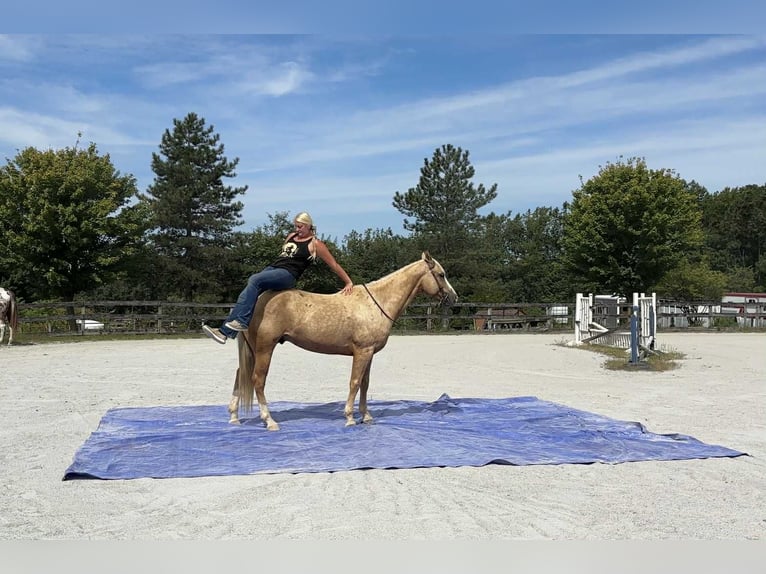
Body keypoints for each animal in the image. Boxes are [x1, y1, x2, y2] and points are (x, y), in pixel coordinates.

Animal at [229, 251, 458, 430]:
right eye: (441, 274)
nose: (454, 297)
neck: (376, 303)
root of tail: (255, 301)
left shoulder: (369, 353)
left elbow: (365, 383)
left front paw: (366, 417)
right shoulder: (362, 351)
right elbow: (355, 382)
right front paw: (349, 418)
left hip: (253, 350)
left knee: (241, 375)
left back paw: (234, 417)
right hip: (265, 348)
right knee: (258, 380)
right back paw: (270, 421)